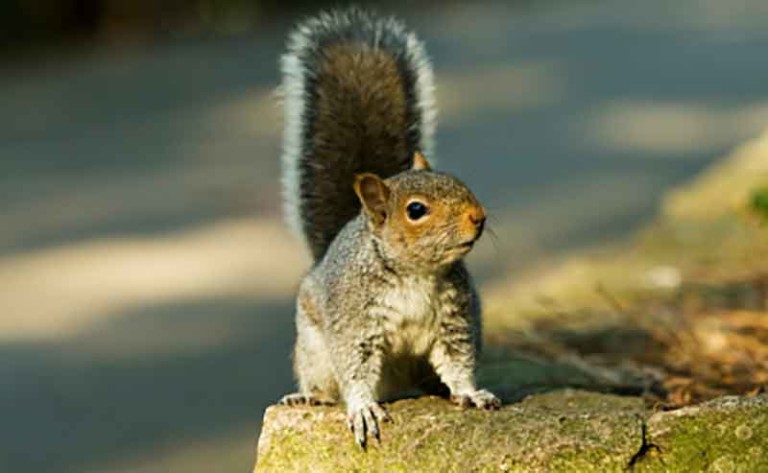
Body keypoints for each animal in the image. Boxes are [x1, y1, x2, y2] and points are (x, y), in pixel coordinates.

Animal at [277, 7, 501, 449]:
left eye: (457, 181)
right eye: (416, 210)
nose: (479, 217)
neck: (415, 273)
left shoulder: (455, 318)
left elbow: (457, 359)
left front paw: (469, 392)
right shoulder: (355, 319)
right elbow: (355, 366)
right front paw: (363, 409)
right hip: (313, 350)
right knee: (323, 383)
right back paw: (306, 397)